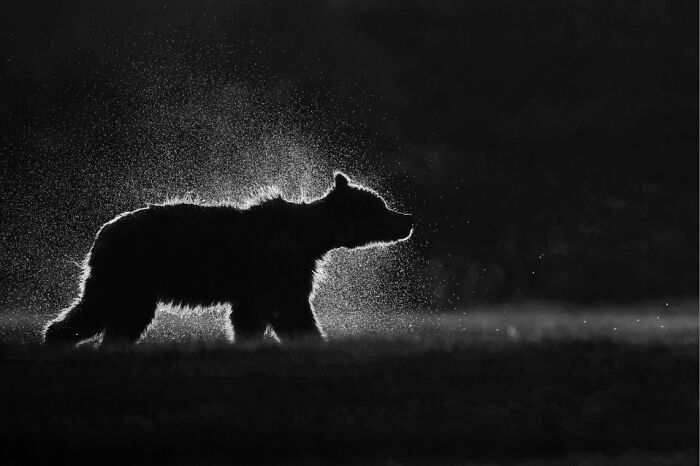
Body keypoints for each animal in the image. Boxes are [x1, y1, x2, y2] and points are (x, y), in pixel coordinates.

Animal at [44, 172, 414, 346]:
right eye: (380, 207)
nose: (408, 219)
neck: (312, 239)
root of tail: (102, 233)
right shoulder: (279, 271)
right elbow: (292, 314)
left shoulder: (259, 286)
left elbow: (254, 318)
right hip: (134, 273)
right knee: (119, 315)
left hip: (117, 276)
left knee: (94, 312)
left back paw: (58, 339)